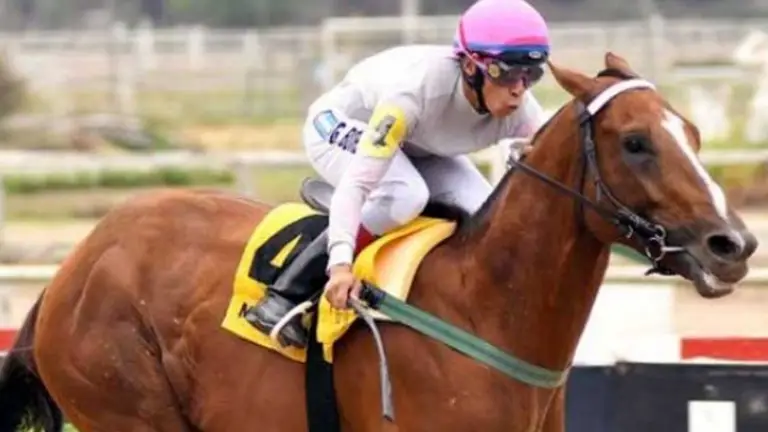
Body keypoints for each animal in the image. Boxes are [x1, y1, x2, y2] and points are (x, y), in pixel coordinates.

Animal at [0, 51, 758, 432]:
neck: (485, 307)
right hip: (126, 407)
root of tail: (74, 266)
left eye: (692, 133)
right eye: (635, 143)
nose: (734, 245)